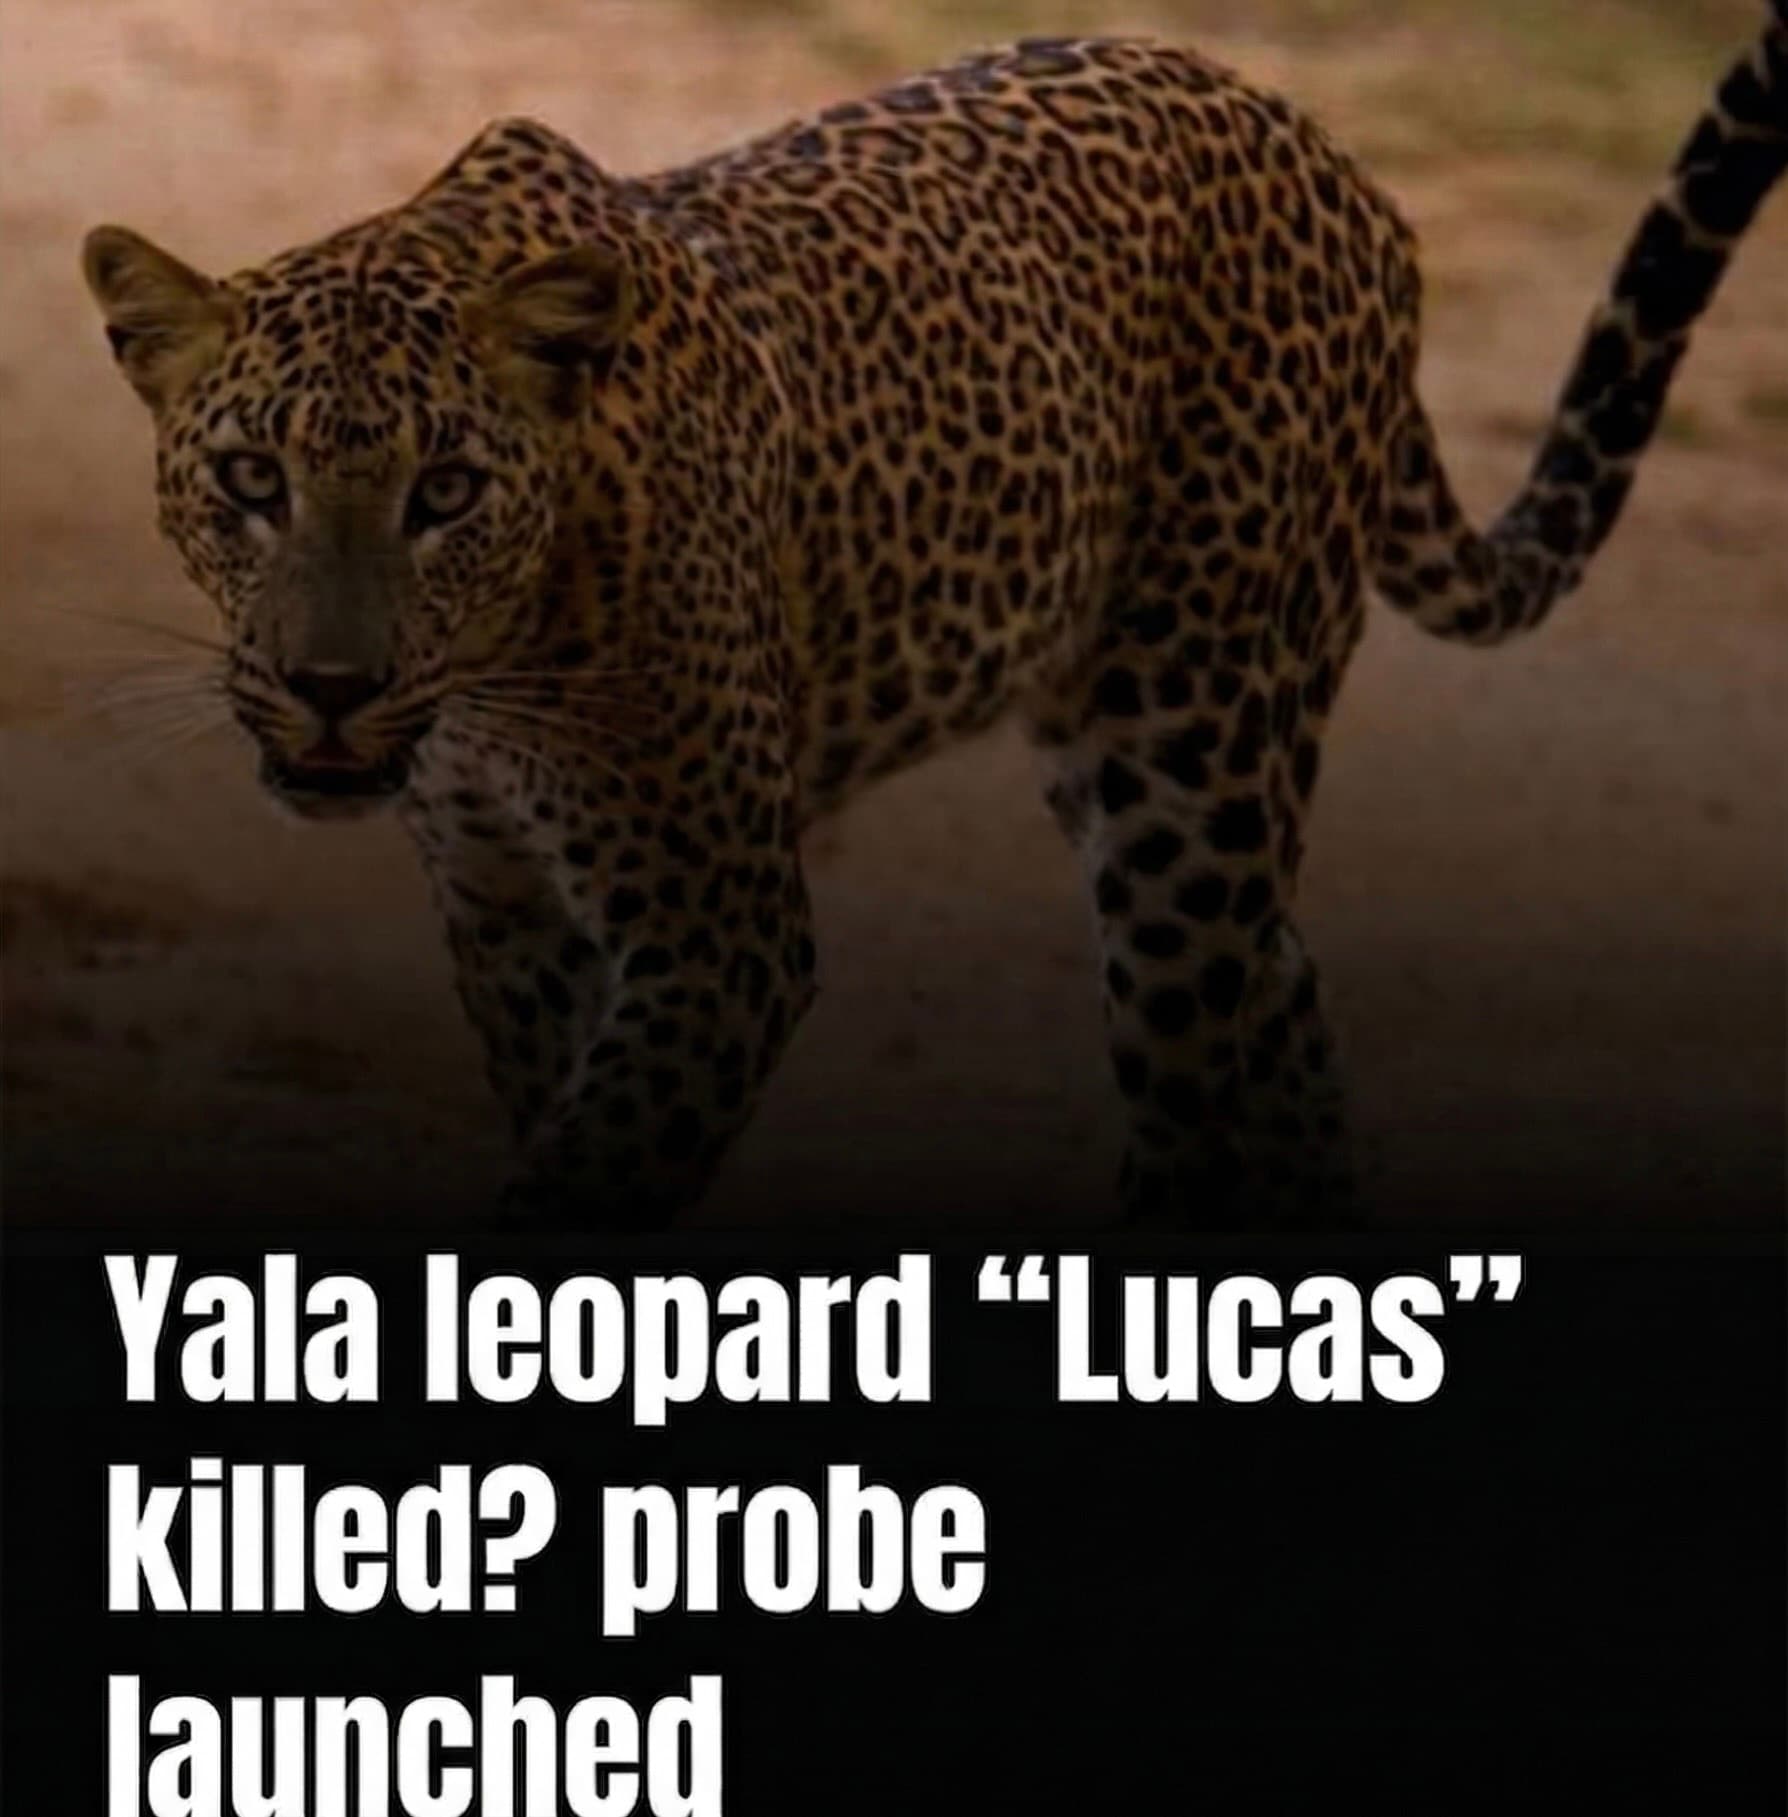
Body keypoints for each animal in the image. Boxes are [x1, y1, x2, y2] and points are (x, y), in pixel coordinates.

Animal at [80, 13, 1787, 1227]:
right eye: (249, 480)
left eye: (444, 491)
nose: (330, 685)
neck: (498, 674)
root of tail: (1327, 151)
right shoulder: (508, 912)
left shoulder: (717, 928)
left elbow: (590, 1172)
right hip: (1123, 739)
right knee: (1282, 997)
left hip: (1198, 750)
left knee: (1199, 1054)